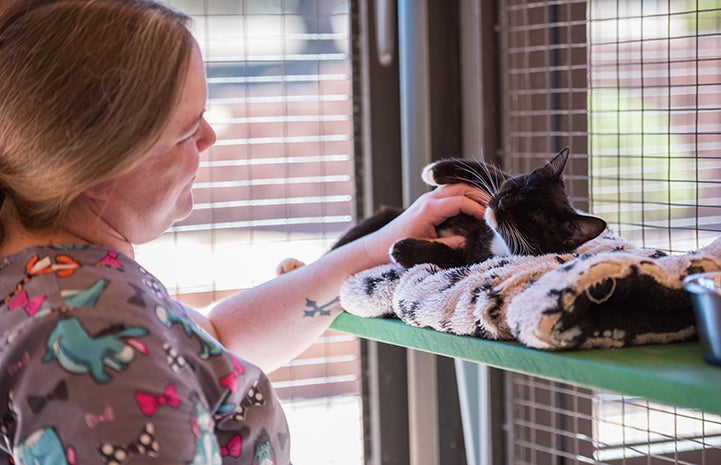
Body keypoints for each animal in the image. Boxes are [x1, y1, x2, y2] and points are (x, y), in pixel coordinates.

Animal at [332, 145, 608, 268]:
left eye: (530, 214)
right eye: (514, 187)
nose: (502, 202)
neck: (496, 239)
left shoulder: (474, 258)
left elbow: (450, 256)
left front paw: (402, 249)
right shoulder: (497, 180)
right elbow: (482, 170)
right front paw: (433, 171)